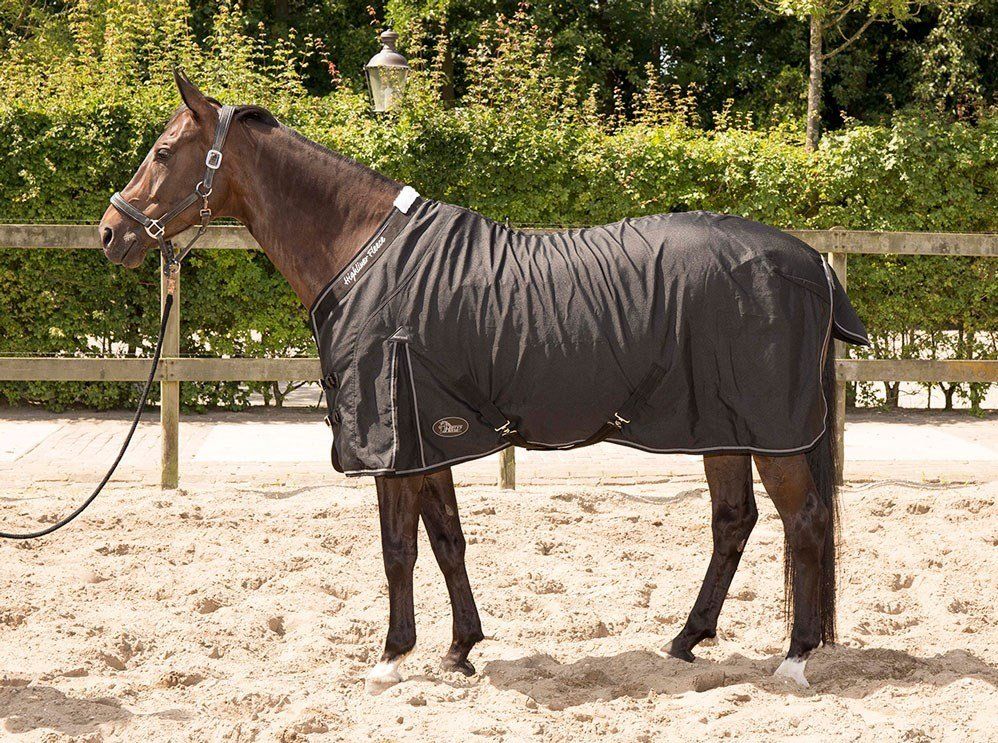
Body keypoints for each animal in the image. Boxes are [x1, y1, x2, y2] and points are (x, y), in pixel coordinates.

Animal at [98, 71, 868, 692]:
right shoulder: (428, 437)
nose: (111, 233)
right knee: (734, 521)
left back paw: (794, 658)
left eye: (162, 153)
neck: (364, 255)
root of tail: (810, 263)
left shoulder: (394, 442)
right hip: (721, 427)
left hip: (770, 432)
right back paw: (685, 640)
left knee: (804, 521)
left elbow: (399, 549)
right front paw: (459, 649)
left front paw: (391, 658)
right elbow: (447, 541)